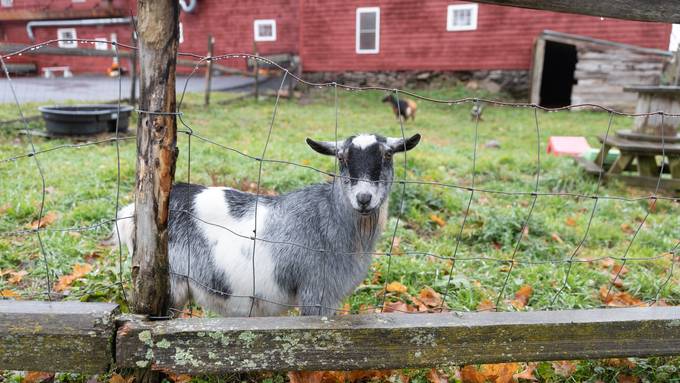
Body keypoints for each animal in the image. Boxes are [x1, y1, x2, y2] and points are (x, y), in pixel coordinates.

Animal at [113, 134, 420, 316]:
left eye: (387, 156)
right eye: (342, 158)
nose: (364, 198)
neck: (329, 218)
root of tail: (131, 214)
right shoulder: (315, 294)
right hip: (173, 286)